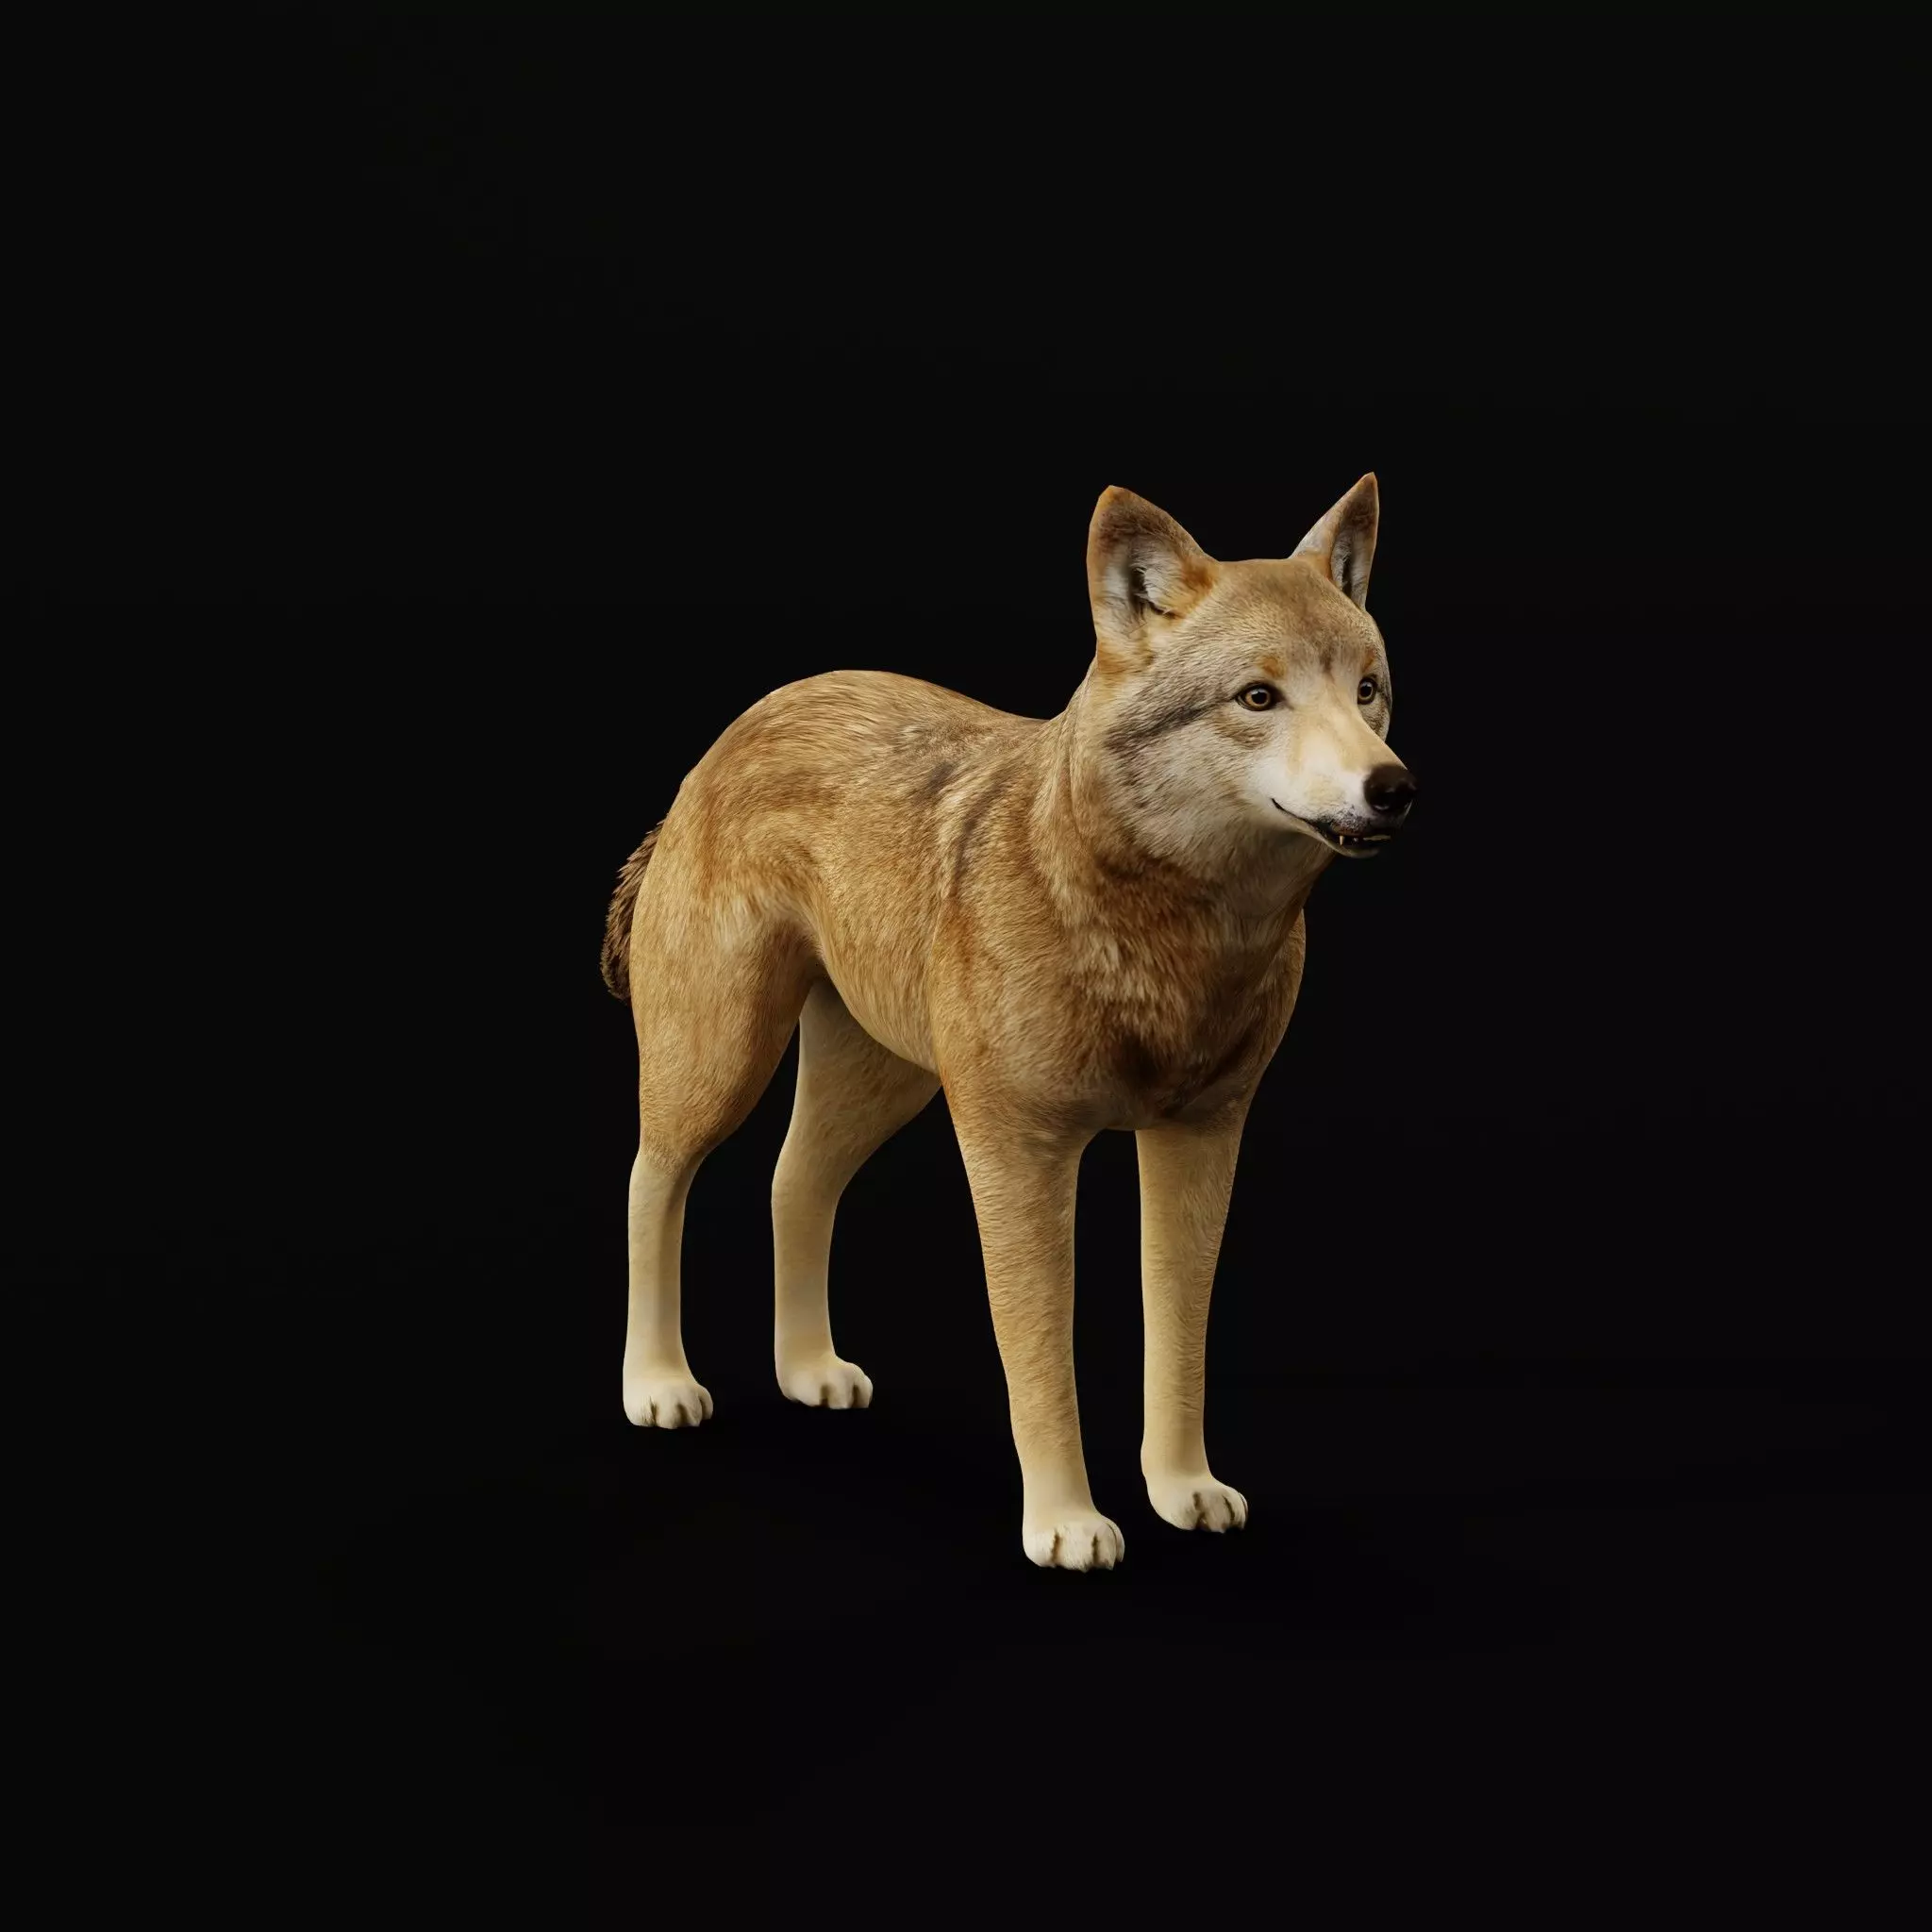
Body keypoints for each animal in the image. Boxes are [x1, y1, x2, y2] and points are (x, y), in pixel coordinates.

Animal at [601, 476, 1417, 1569]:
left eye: (1366, 690)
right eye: (1258, 698)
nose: (1392, 787)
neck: (1173, 934)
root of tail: (733, 732)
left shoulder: (1202, 1140)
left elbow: (1179, 1337)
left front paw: (1182, 1490)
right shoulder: (1016, 1151)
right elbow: (1040, 1357)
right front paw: (1067, 1523)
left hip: (882, 1081)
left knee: (791, 1181)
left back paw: (809, 1368)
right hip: (723, 1060)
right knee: (654, 1178)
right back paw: (657, 1384)